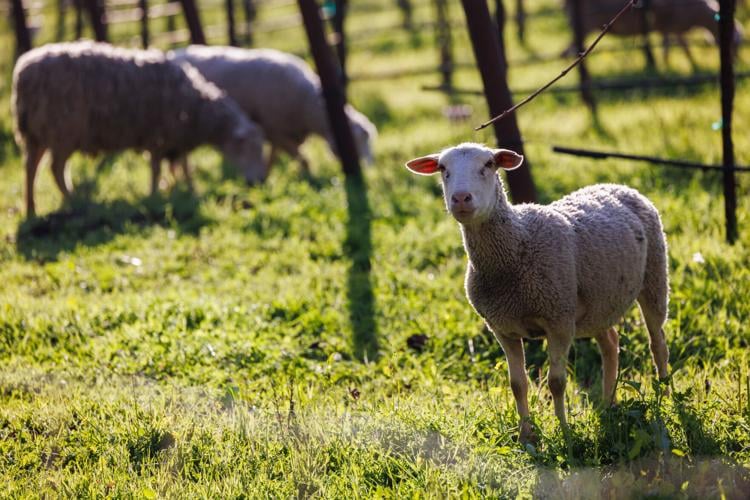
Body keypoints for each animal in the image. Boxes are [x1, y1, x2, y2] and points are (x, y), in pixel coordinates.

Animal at [12, 41, 265, 217]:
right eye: (250, 149)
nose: (258, 182)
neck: (196, 110)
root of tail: (23, 73)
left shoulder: (176, 139)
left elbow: (183, 166)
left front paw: (187, 188)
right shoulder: (159, 136)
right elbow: (157, 169)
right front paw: (154, 195)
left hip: (38, 134)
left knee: (31, 168)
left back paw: (32, 208)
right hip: (63, 130)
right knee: (55, 168)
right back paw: (74, 199)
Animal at [169, 46, 377, 177]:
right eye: (359, 141)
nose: (369, 169)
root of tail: (174, 52)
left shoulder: (280, 132)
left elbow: (274, 157)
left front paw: (268, 175)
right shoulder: (275, 129)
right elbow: (302, 159)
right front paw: (309, 178)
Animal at [405, 143, 670, 443]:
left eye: (489, 164)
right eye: (442, 168)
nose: (461, 198)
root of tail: (616, 185)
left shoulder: (559, 320)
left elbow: (557, 382)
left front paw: (565, 432)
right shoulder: (502, 328)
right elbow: (517, 384)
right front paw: (526, 436)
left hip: (654, 276)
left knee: (657, 343)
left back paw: (664, 397)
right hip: (599, 302)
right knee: (611, 343)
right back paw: (608, 404)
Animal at [564, 0, 742, 70]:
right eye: (734, 44)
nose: (736, 62)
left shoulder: (671, 28)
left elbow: (677, 47)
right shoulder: (672, 26)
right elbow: (676, 48)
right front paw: (687, 65)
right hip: (585, 24)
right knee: (567, 51)